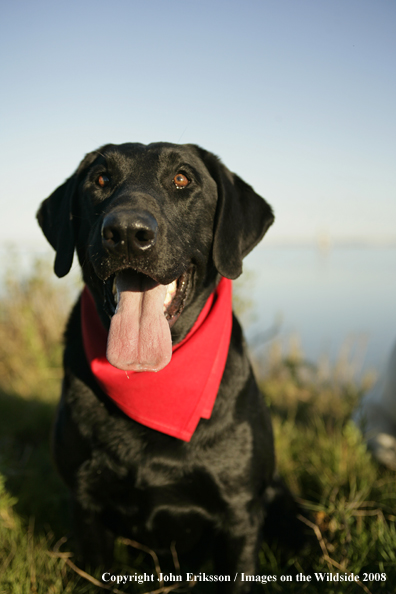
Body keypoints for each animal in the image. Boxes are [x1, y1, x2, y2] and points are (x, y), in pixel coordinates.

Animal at [38, 142, 304, 588]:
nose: (127, 232)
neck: (153, 379)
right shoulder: (86, 504)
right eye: (101, 179)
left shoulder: (240, 515)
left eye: (182, 178)